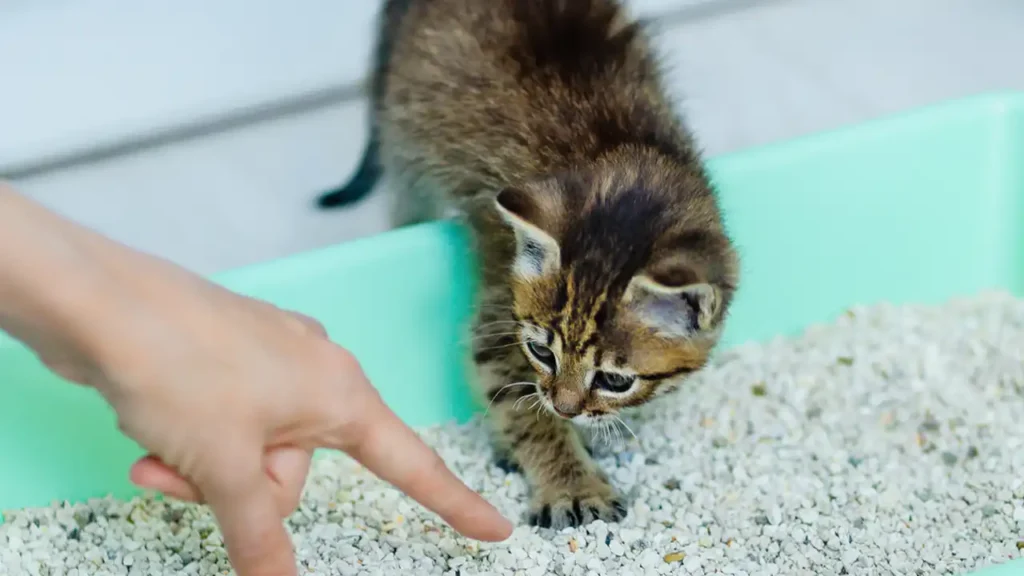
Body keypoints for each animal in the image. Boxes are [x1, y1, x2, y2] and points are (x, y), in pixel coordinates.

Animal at [317, 0, 737, 528]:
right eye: (541, 352)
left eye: (615, 380)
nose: (565, 407)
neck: (618, 154)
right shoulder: (499, 311)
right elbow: (519, 402)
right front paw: (571, 485)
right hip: (405, 145)